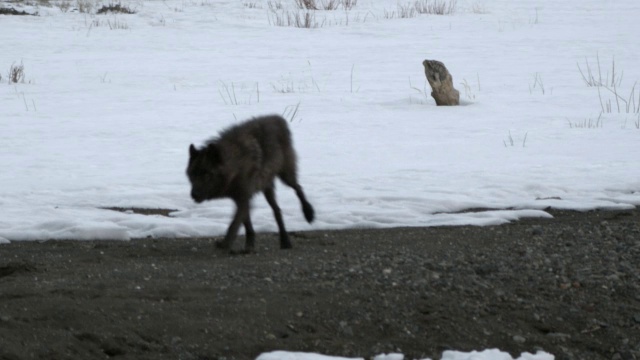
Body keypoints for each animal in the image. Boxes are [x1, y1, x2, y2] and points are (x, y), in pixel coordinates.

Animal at [185, 115, 316, 253]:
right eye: (192, 175)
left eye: (207, 175)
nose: (194, 194)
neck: (235, 165)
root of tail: (278, 118)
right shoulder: (240, 199)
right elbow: (246, 223)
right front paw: (249, 244)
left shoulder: (243, 197)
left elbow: (234, 224)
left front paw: (226, 243)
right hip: (267, 188)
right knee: (277, 210)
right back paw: (285, 240)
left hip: (286, 177)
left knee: (298, 187)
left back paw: (308, 213)